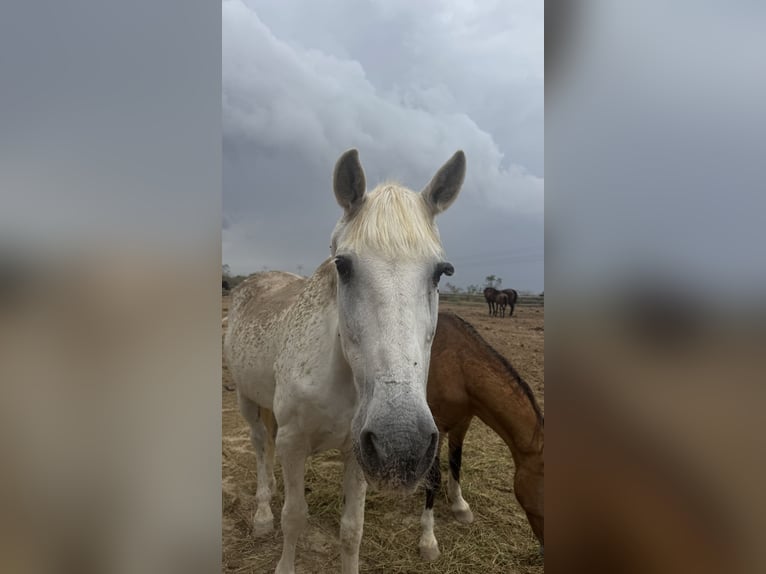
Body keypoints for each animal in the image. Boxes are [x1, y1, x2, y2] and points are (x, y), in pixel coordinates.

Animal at [223, 149, 466, 574]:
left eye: (442, 272)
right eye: (343, 265)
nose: (402, 443)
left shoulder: (359, 452)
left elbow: (352, 529)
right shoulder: (293, 442)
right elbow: (294, 517)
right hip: (246, 400)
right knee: (259, 446)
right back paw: (262, 514)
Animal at [418, 312, 544, 561]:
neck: (458, 366)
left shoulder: (462, 421)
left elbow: (456, 462)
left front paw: (459, 506)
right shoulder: (437, 423)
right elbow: (434, 477)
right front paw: (428, 541)